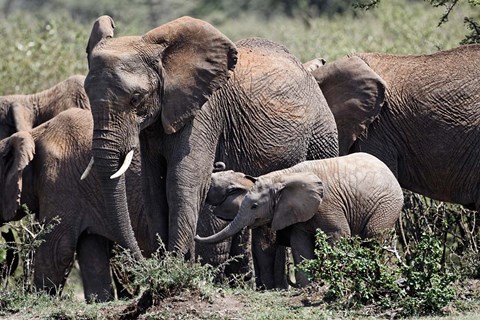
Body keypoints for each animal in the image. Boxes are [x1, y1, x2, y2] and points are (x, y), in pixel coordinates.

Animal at [82, 15, 338, 288]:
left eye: (136, 98)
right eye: (87, 95)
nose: (145, 262)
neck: (162, 56)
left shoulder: (204, 111)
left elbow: (183, 179)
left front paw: (175, 268)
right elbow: (154, 187)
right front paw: (166, 266)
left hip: (321, 132)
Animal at [197, 154, 404, 286]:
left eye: (254, 206)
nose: (219, 165)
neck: (281, 176)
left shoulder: (328, 204)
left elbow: (338, 235)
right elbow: (299, 242)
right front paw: (308, 287)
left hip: (386, 205)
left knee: (374, 237)